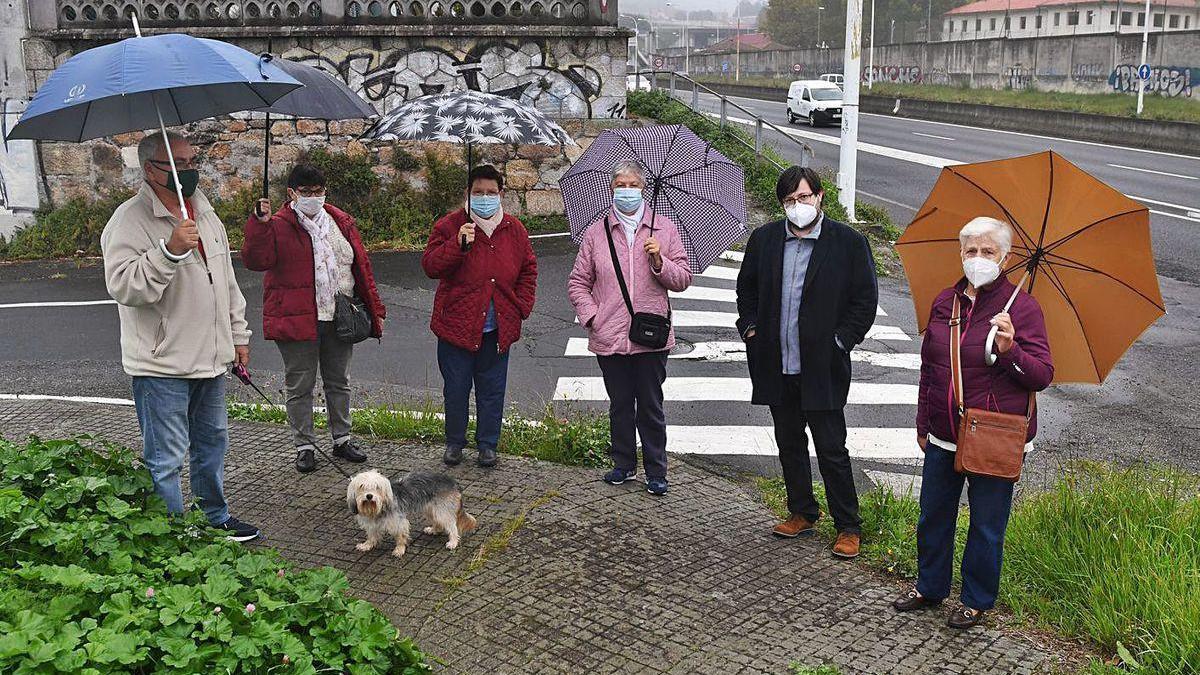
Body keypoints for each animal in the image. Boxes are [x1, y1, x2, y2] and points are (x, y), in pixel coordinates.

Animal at [345, 468, 475, 557]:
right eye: (361, 486)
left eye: (377, 487)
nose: (369, 496)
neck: (378, 508)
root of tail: (453, 482)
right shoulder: (371, 524)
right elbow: (372, 535)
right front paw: (367, 545)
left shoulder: (398, 522)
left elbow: (400, 536)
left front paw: (399, 549)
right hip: (431, 509)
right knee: (439, 522)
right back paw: (433, 530)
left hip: (441, 510)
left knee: (452, 526)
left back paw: (453, 542)